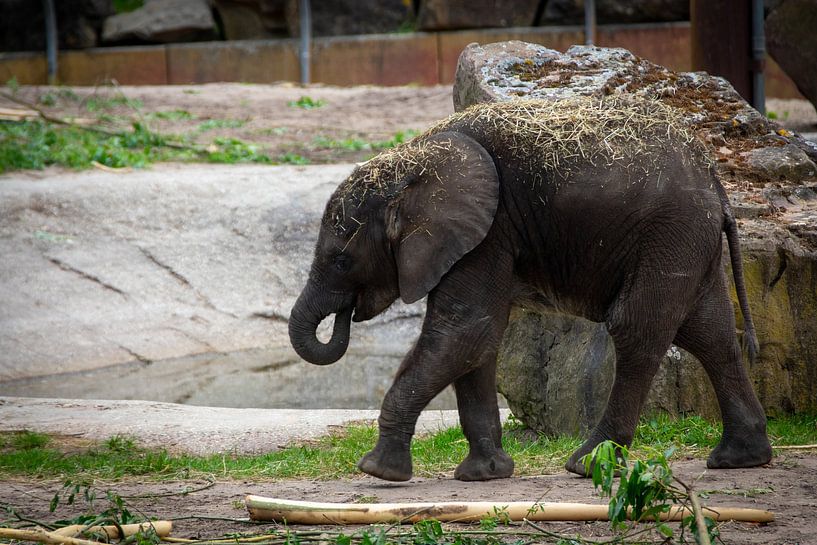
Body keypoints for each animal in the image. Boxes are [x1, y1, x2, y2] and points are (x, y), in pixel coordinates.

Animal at [288, 96, 773, 481]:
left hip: (669, 234)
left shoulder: (486, 234)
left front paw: (378, 471)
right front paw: (484, 475)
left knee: (637, 330)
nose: (347, 314)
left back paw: (587, 464)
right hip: (688, 242)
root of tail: (717, 184)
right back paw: (740, 459)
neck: (414, 160)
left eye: (341, 260)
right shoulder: (482, 237)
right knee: (710, 334)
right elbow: (479, 339)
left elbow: (465, 330)